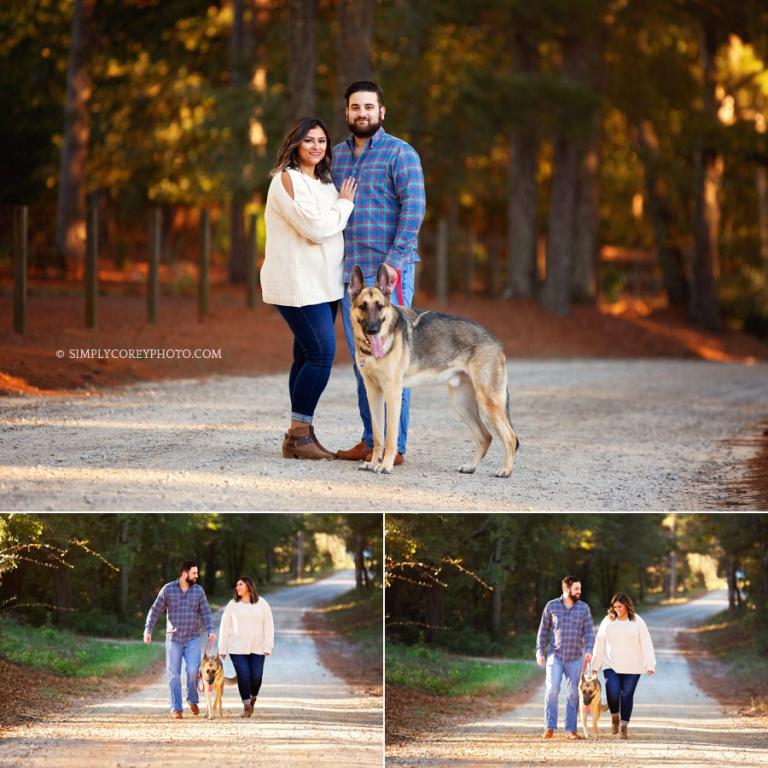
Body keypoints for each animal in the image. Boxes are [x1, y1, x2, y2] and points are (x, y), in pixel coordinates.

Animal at [350, 268, 520, 476]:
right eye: (363, 306)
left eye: (380, 306)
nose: (373, 330)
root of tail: (495, 340)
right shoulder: (373, 393)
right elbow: (377, 436)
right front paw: (373, 463)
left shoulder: (392, 394)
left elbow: (389, 437)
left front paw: (385, 465)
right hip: (461, 404)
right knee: (485, 436)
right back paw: (470, 466)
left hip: (488, 402)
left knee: (510, 436)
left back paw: (505, 470)